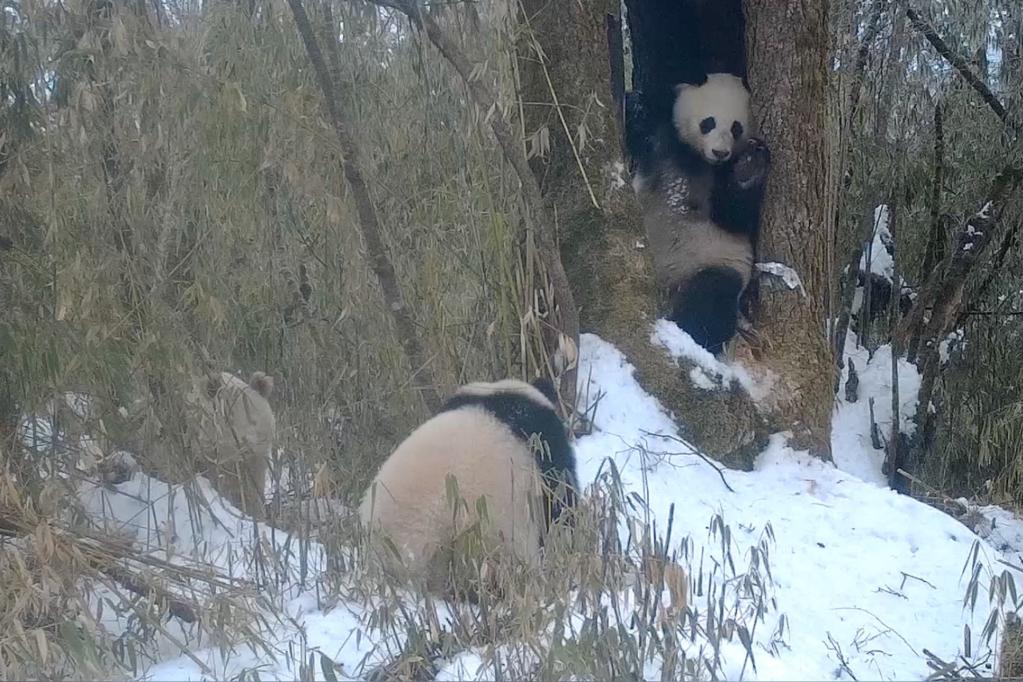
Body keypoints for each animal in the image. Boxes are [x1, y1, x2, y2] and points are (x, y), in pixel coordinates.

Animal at [621, 72, 769, 355]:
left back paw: (687, 334)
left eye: (736, 128)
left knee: (711, 300)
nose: (720, 152)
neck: (699, 159)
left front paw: (748, 166)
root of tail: (667, 286)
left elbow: (736, 216)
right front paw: (636, 103)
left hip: (712, 260)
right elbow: (638, 129)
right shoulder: (663, 141)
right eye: (708, 122)